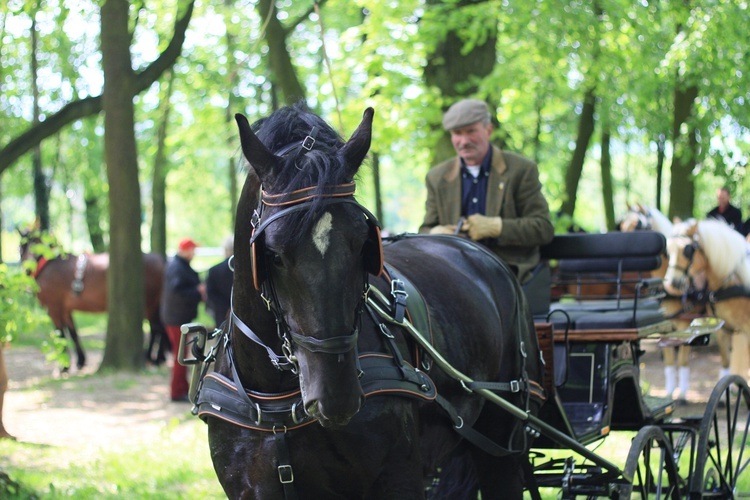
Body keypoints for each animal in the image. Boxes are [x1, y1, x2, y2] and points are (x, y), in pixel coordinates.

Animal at [19, 232, 169, 370]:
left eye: (30, 246)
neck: (49, 264)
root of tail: (161, 259)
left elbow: (61, 335)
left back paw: (152, 358)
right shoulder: (66, 309)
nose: (28, 268)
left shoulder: (53, 308)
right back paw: (157, 357)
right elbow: (73, 333)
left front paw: (65, 366)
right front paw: (80, 360)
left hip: (150, 305)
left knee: (156, 328)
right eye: (22, 247)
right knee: (158, 328)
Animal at [197, 103, 544, 498]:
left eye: (364, 244)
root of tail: (476, 249)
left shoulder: (399, 477)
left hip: (501, 438)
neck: (277, 400)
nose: (337, 396)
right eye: (272, 255)